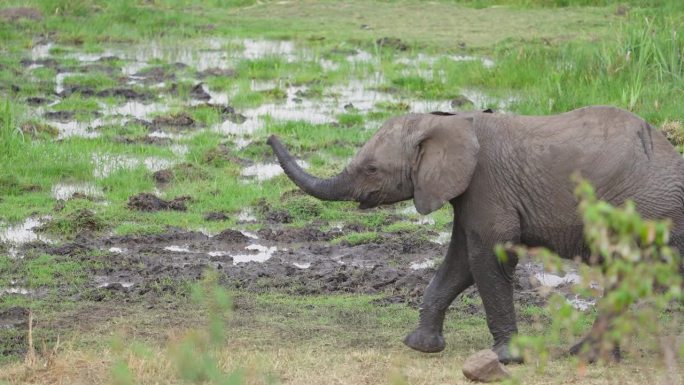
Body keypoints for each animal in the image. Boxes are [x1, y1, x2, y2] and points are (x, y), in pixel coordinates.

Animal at [266, 106, 684, 364]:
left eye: (371, 169)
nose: (270, 135)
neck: (444, 121)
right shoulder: (466, 193)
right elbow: (460, 263)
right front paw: (422, 346)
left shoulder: (487, 185)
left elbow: (490, 258)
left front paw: (506, 359)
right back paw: (591, 356)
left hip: (645, 210)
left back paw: (584, 354)